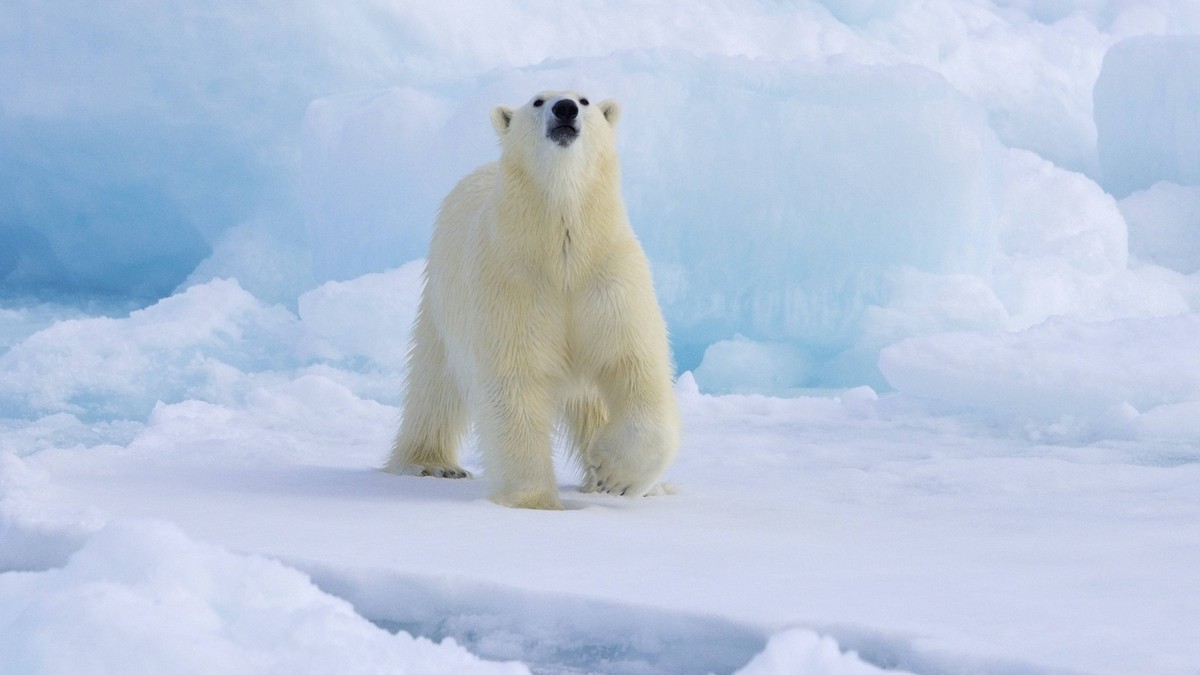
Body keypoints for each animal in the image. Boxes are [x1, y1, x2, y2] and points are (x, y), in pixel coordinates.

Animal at [383, 90, 680, 510]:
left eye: (584, 100)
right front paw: (533, 500)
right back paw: (431, 464)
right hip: (444, 299)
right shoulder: (511, 282)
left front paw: (615, 475)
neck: (560, 253)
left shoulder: (607, 279)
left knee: (593, 403)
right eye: (538, 101)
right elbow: (514, 379)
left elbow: (634, 365)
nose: (565, 108)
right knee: (436, 383)